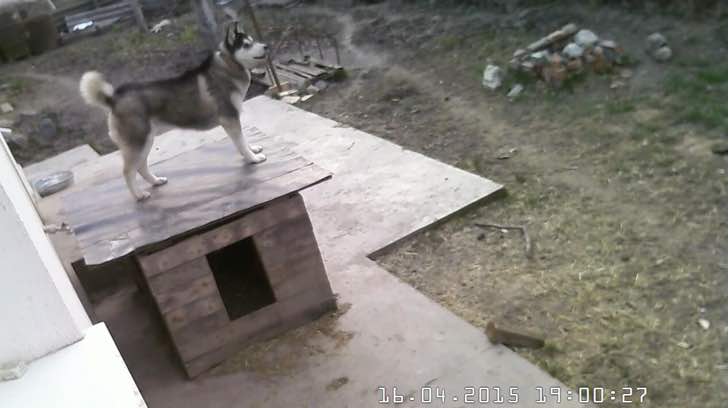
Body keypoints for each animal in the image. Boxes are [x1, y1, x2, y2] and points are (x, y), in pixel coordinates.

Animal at [78, 22, 270, 201]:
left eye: (253, 40)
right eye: (246, 45)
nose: (266, 46)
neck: (228, 66)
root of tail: (113, 99)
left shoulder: (233, 119)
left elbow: (243, 140)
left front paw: (253, 149)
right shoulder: (229, 118)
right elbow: (241, 142)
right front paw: (252, 158)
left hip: (146, 141)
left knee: (140, 167)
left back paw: (156, 181)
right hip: (137, 142)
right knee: (128, 171)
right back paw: (139, 195)